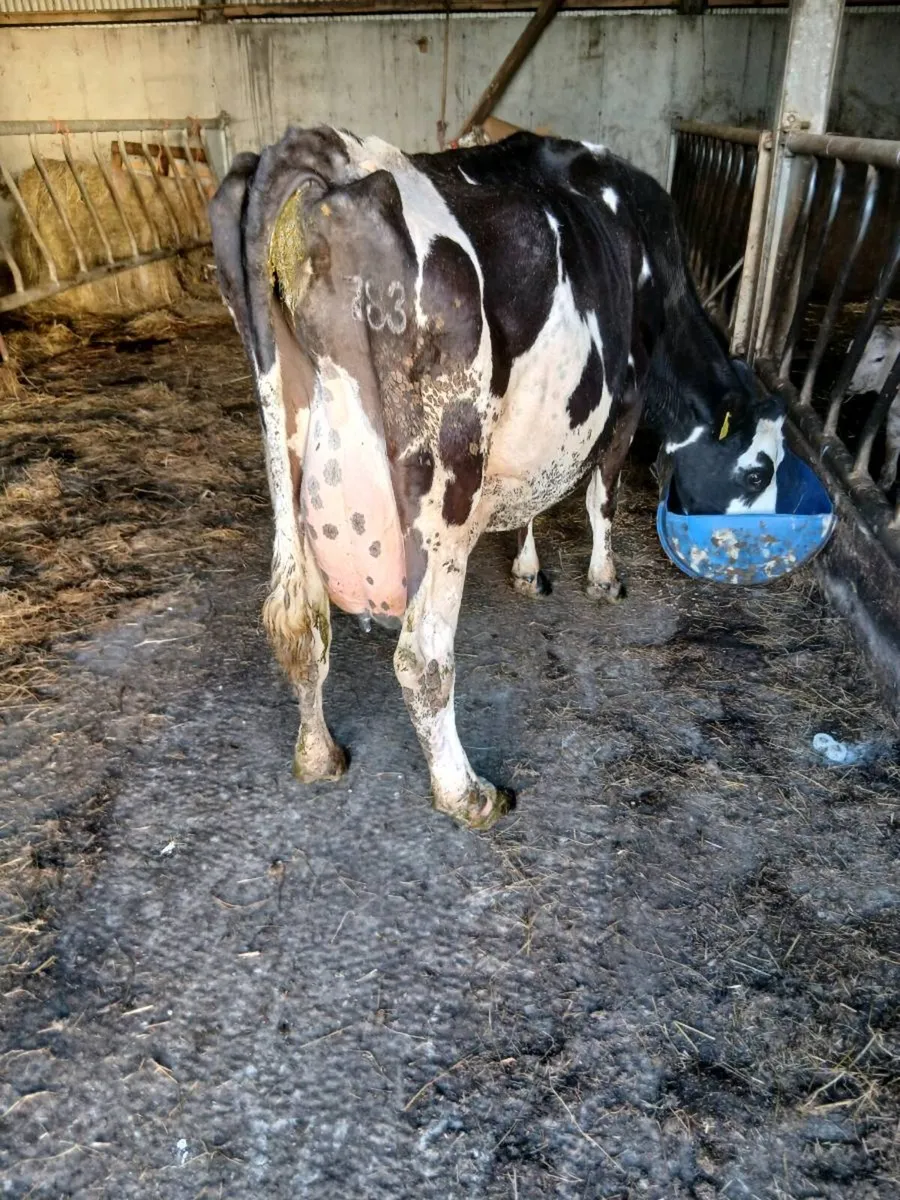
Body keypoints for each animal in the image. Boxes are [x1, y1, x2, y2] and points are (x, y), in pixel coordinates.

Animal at [210, 126, 785, 829]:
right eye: (759, 471)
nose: (763, 546)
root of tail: (334, 149)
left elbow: (534, 500)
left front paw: (528, 570)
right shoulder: (626, 397)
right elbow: (602, 496)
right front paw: (604, 580)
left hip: (283, 450)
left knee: (301, 625)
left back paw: (320, 756)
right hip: (446, 473)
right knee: (421, 657)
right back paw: (468, 793)